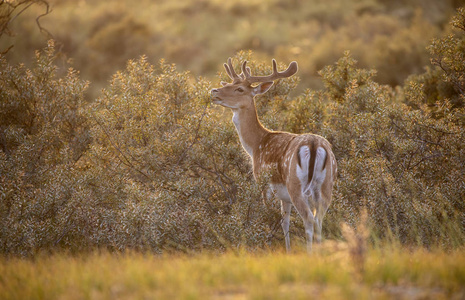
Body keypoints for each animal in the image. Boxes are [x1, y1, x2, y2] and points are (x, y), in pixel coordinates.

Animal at [211, 57, 338, 252]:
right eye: (230, 83)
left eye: (240, 89)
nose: (214, 91)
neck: (256, 145)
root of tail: (314, 145)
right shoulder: (284, 197)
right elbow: (285, 222)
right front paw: (288, 250)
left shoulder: (263, 184)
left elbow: (270, 219)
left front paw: (269, 247)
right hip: (326, 185)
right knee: (319, 219)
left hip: (295, 184)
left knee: (309, 218)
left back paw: (310, 253)